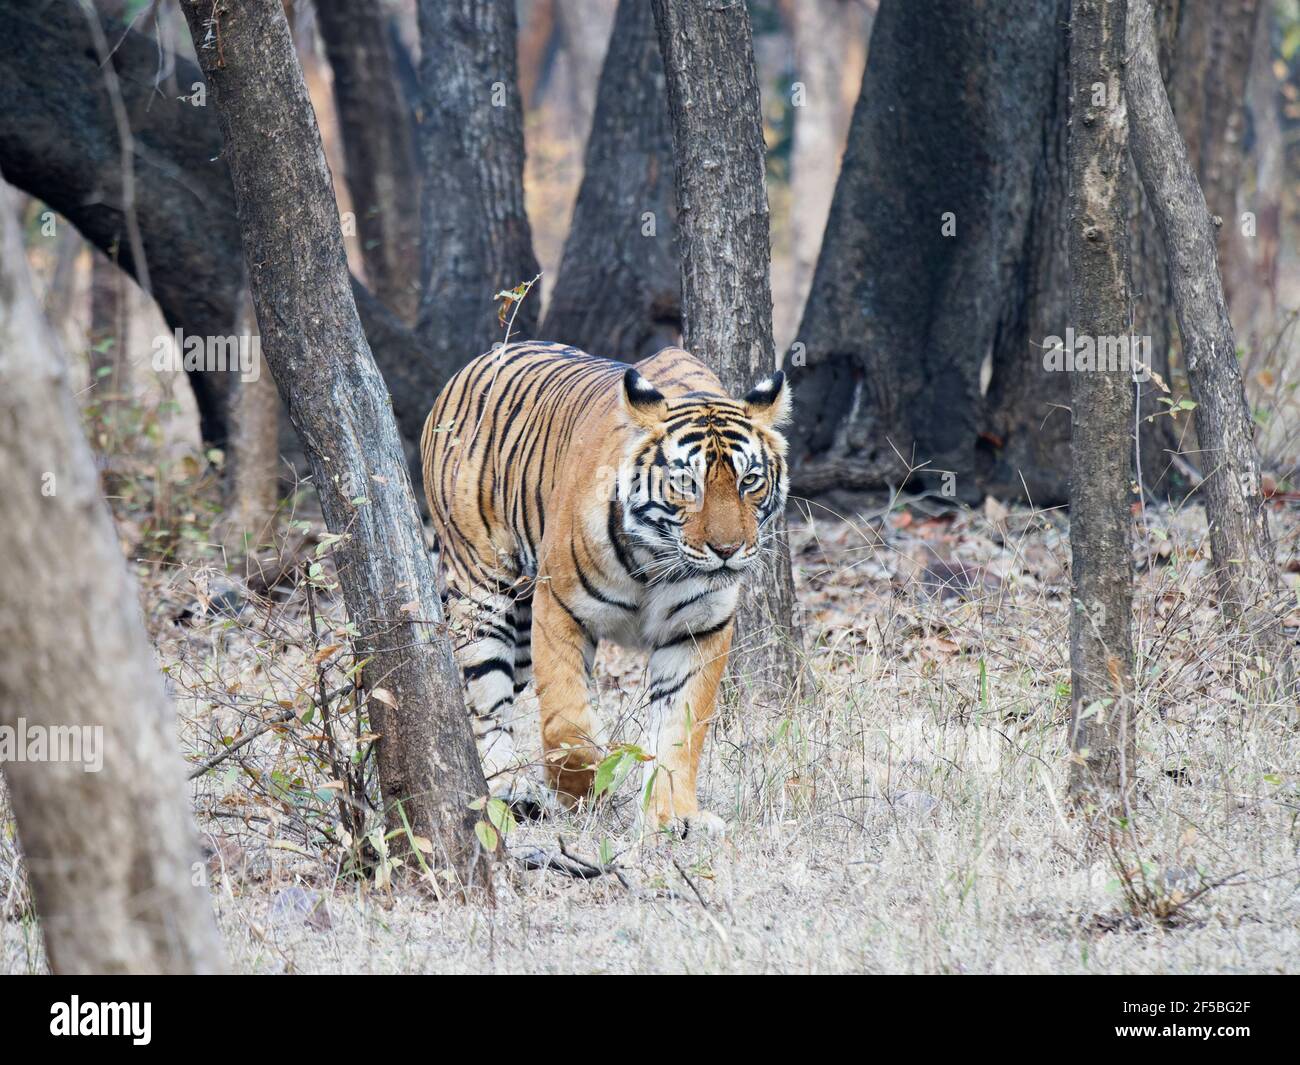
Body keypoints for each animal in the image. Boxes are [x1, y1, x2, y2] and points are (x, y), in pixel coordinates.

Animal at [420, 341, 791, 836]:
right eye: (686, 483)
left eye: (749, 480)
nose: (728, 550)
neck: (658, 561)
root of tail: (479, 360)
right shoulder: (559, 608)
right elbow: (567, 721)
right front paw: (580, 790)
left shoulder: (699, 630)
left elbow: (681, 729)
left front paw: (673, 817)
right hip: (483, 591)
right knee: (485, 704)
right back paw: (507, 790)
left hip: (520, 631)